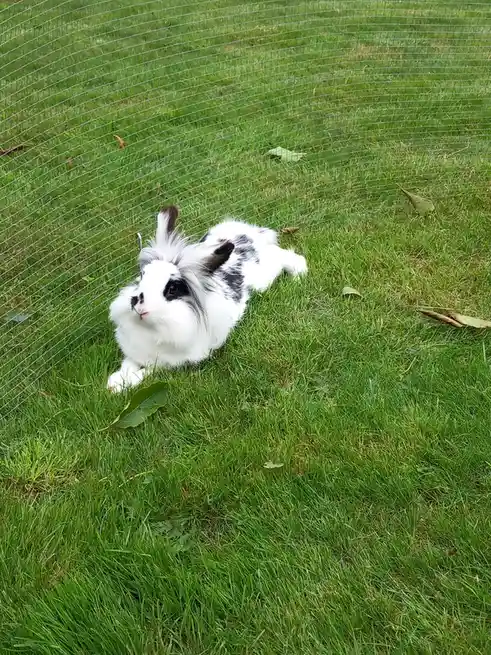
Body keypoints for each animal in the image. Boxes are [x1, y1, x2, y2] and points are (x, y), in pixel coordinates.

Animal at [107, 206, 307, 392]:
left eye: (172, 289)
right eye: (142, 277)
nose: (140, 307)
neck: (153, 329)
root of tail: (248, 233)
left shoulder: (171, 362)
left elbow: (148, 371)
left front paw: (119, 385)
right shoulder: (134, 351)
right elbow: (128, 363)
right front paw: (115, 382)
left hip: (264, 276)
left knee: (285, 256)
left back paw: (299, 275)